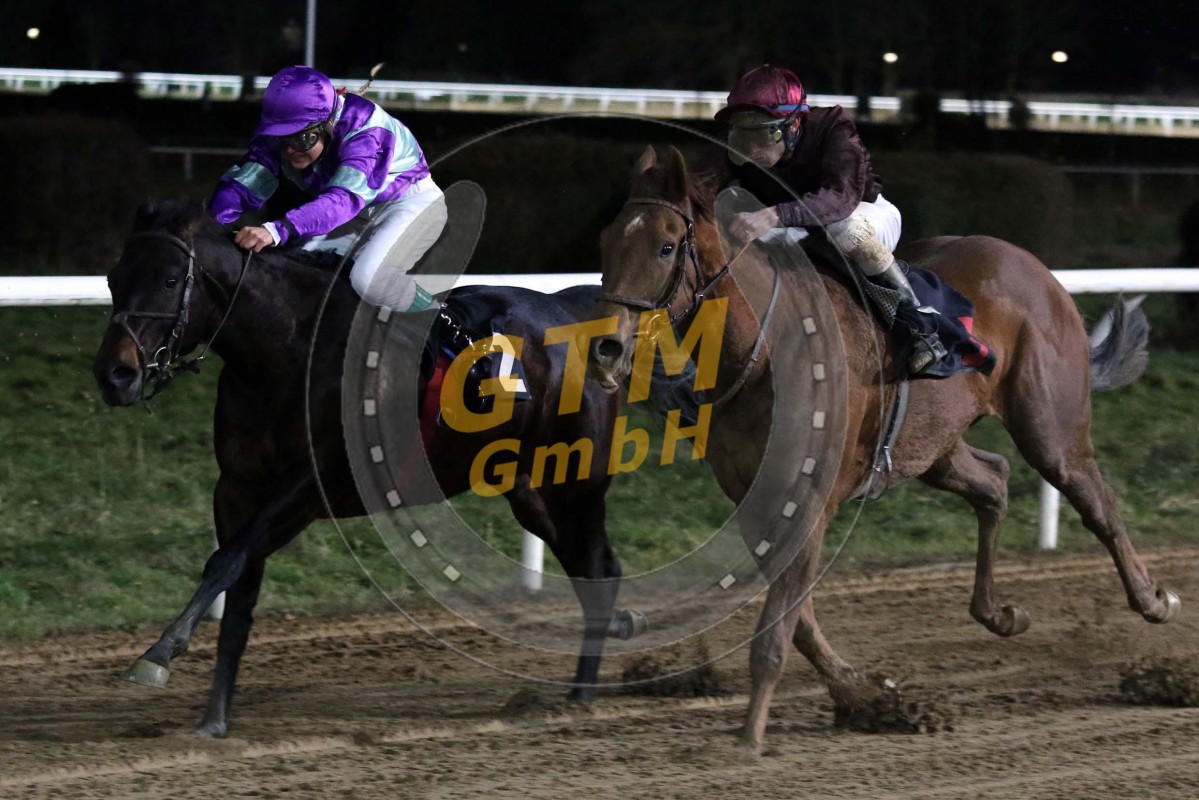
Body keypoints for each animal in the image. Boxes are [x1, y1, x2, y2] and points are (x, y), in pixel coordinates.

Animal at [92, 198, 641, 738]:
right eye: (114, 278)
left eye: (169, 280)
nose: (114, 375)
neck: (287, 351)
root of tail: (571, 311)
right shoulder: (237, 487)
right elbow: (238, 588)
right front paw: (213, 720)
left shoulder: (311, 484)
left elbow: (226, 562)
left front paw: (157, 654)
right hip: (531, 492)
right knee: (596, 570)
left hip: (572, 482)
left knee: (598, 570)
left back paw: (580, 700)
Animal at [586, 146, 1179, 751]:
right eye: (607, 240)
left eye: (665, 246)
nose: (607, 348)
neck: (764, 351)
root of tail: (1037, 270)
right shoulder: (755, 502)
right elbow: (798, 619)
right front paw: (866, 693)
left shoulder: (811, 500)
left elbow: (779, 625)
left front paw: (751, 735)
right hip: (934, 446)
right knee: (992, 481)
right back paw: (999, 613)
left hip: (1050, 427)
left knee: (1095, 501)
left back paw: (1154, 599)